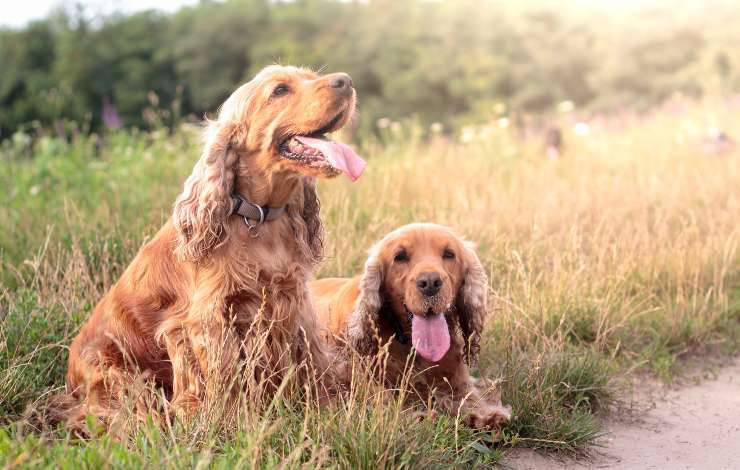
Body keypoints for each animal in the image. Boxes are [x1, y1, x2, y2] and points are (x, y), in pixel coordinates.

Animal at [310, 222, 512, 428]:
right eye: (400, 256)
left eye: (449, 254)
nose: (430, 283)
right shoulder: (352, 371)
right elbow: (380, 395)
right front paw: (411, 415)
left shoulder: (455, 378)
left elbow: (467, 395)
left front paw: (486, 413)